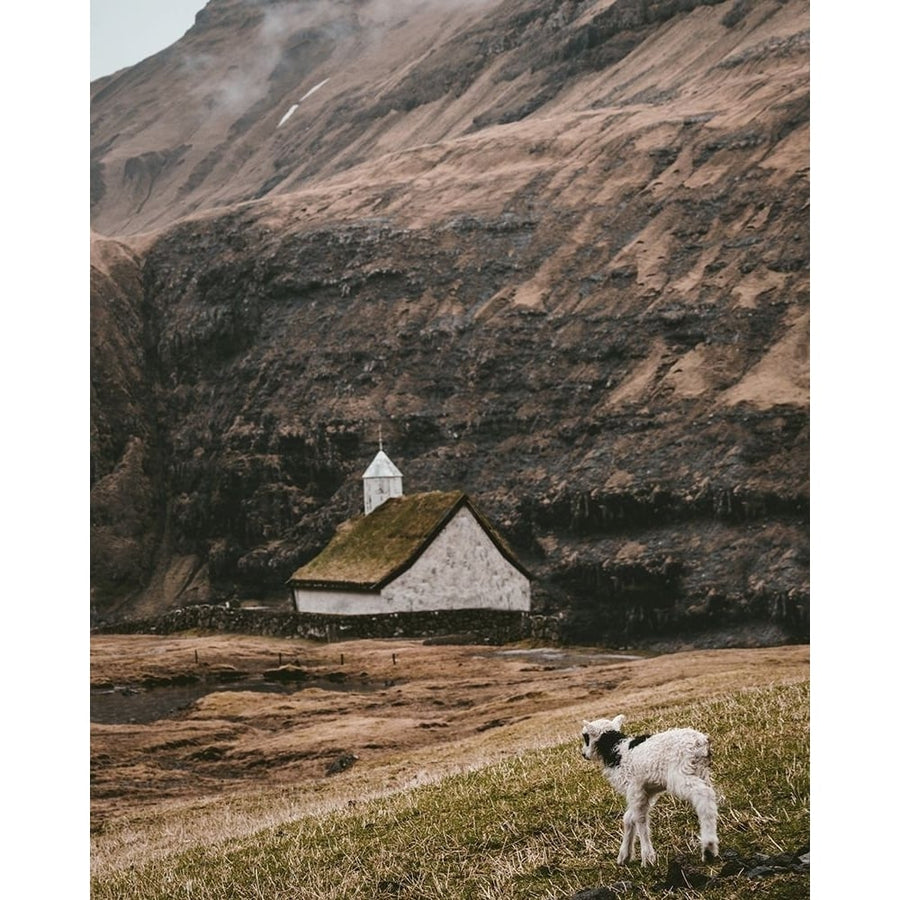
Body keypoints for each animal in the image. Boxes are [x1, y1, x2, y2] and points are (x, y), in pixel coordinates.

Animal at [580, 716, 720, 864]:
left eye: (586, 737)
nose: (583, 754)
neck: (616, 750)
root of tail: (701, 742)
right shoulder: (646, 791)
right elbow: (629, 817)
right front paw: (624, 855)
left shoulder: (634, 789)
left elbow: (639, 818)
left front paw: (647, 857)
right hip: (701, 772)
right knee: (709, 799)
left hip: (680, 774)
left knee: (704, 795)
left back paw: (708, 847)